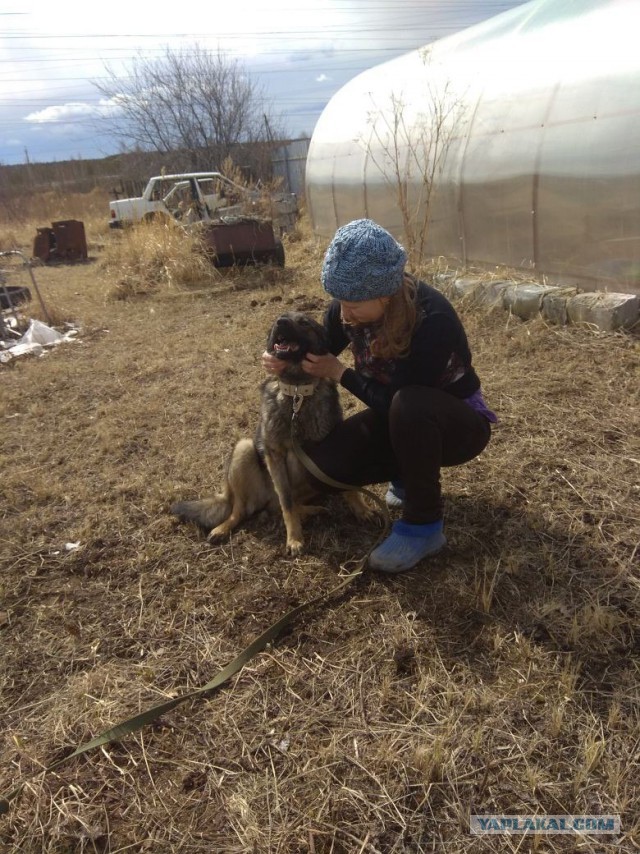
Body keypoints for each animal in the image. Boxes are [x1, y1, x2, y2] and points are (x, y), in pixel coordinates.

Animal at [170, 310, 376, 560]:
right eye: (281, 318)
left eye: (304, 322)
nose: (281, 322)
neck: (297, 394)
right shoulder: (275, 455)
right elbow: (286, 502)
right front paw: (294, 538)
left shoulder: (333, 446)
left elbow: (347, 487)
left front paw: (361, 509)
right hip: (244, 449)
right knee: (246, 510)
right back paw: (223, 528)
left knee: (278, 507)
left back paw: (312, 510)